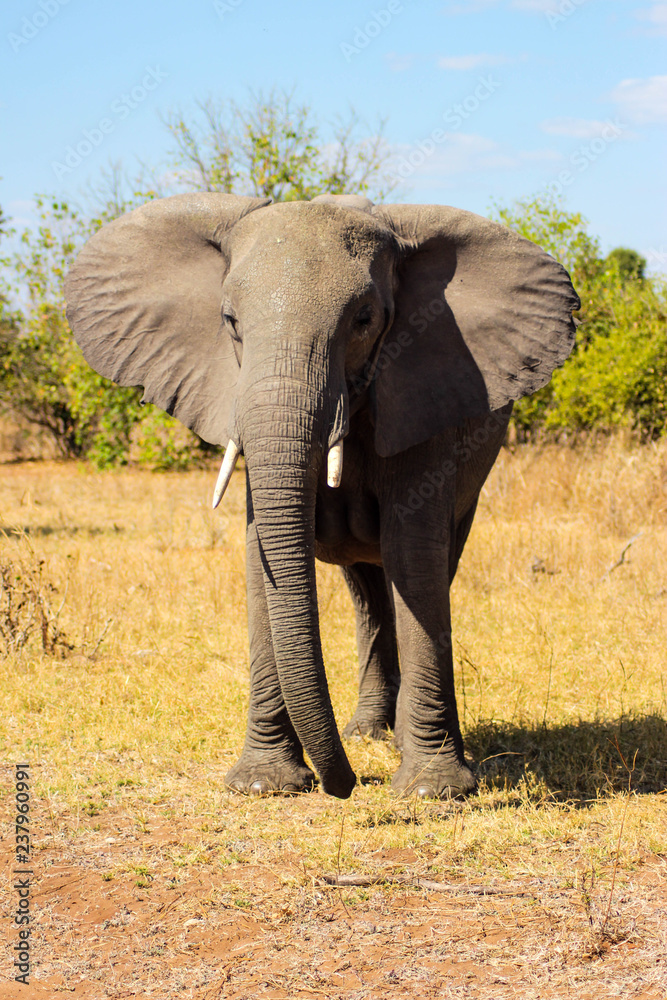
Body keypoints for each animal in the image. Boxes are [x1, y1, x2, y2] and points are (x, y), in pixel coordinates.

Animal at [64, 192, 579, 799]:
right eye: (229, 321)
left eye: (364, 320)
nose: (351, 785)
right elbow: (261, 557)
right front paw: (263, 784)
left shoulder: (424, 395)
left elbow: (414, 556)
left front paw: (432, 791)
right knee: (367, 589)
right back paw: (368, 732)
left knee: (425, 570)